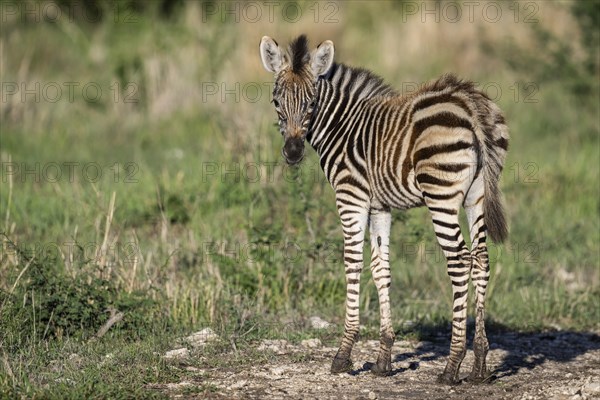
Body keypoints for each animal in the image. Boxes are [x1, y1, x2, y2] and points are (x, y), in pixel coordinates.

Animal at [258, 35, 506, 384]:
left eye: (311, 104)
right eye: (277, 102)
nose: (293, 152)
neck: (342, 127)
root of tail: (468, 105)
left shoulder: (351, 198)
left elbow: (352, 263)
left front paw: (343, 354)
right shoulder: (380, 207)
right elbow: (381, 268)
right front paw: (383, 358)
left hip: (441, 196)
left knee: (460, 261)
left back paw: (451, 365)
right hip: (476, 195)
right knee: (481, 260)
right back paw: (480, 365)